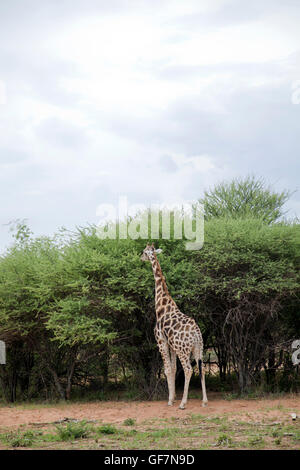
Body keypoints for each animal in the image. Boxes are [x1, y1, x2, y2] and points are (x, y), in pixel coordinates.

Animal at [141, 242, 207, 408]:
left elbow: (167, 370)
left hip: (183, 350)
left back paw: (183, 403)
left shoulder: (161, 341)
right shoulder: (171, 346)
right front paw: (173, 396)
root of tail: (196, 334)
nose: (140, 258)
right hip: (198, 349)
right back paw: (204, 401)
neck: (161, 306)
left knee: (189, 370)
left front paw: (171, 400)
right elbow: (173, 367)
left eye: (144, 252)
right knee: (201, 368)